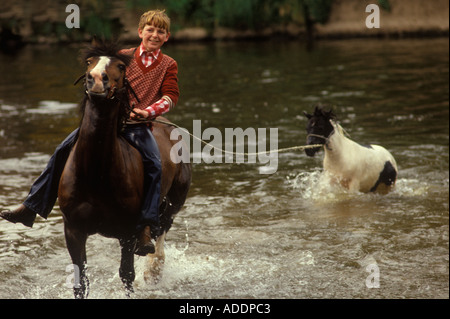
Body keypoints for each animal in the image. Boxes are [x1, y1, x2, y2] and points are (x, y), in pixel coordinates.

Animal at [57, 40, 191, 300]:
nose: (96, 80)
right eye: (89, 63)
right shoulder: (74, 230)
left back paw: (153, 271)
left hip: (172, 205)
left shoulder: (127, 233)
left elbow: (127, 276)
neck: (96, 173)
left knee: (160, 236)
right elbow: (81, 282)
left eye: (120, 66)